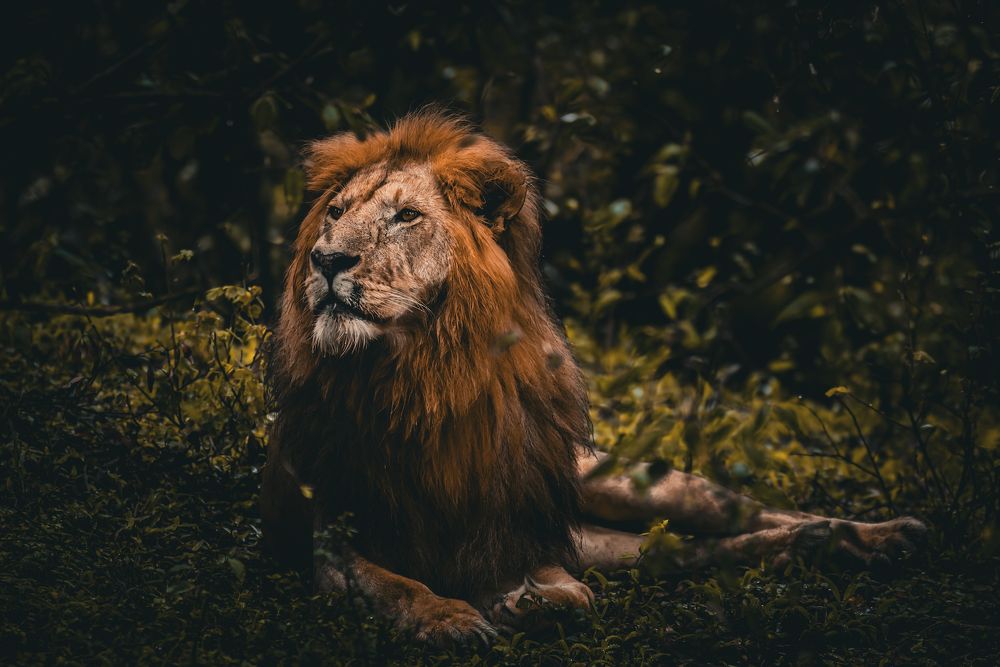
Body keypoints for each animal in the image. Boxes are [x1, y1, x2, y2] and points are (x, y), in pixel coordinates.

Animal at [261, 110, 927, 645]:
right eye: (335, 214)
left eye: (406, 216)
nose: (326, 260)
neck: (417, 376)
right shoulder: (334, 538)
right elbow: (395, 587)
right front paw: (448, 617)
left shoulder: (519, 530)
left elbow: (559, 585)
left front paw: (532, 601)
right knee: (688, 552)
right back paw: (817, 547)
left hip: (638, 484)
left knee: (753, 513)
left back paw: (878, 535)